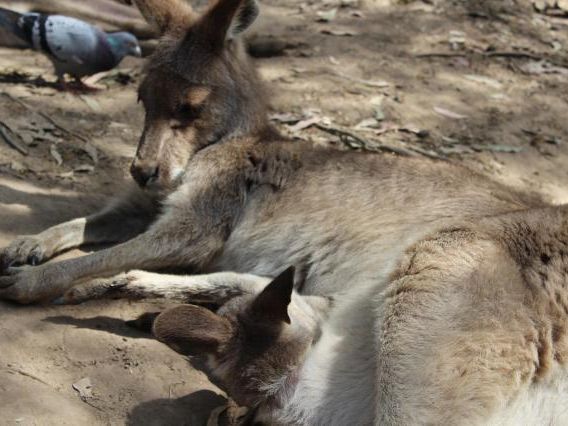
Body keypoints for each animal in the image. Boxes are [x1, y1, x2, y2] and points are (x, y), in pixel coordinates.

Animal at [1, 0, 567, 424]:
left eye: (189, 108)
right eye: (141, 99)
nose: (142, 171)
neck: (223, 143)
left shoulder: (199, 219)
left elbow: (107, 251)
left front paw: (29, 283)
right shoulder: (146, 206)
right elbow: (86, 226)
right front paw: (28, 247)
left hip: (448, 261)